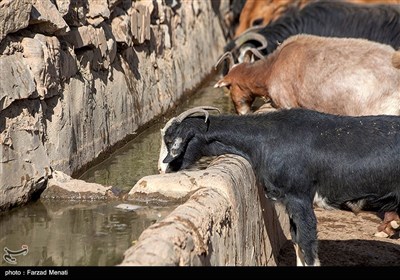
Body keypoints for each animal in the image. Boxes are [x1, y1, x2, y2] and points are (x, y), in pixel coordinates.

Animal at [158, 106, 400, 266]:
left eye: (170, 141)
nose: (162, 169)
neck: (266, 140)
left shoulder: (299, 198)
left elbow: (307, 244)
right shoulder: (289, 202)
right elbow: (297, 241)